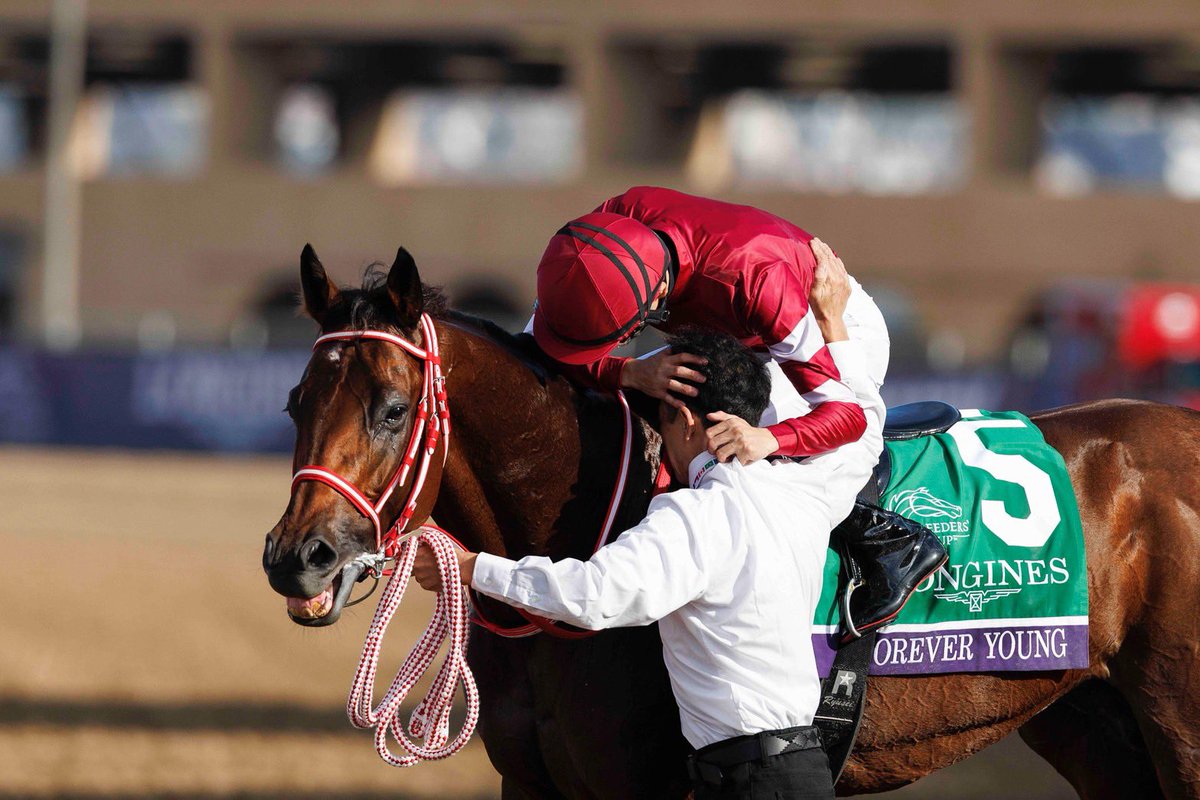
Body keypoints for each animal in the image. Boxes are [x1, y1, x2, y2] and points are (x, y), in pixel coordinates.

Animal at [263, 246, 1200, 800]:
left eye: (391, 410)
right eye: (295, 401)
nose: (297, 557)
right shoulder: (532, 784)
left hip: (1178, 725)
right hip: (1090, 722)